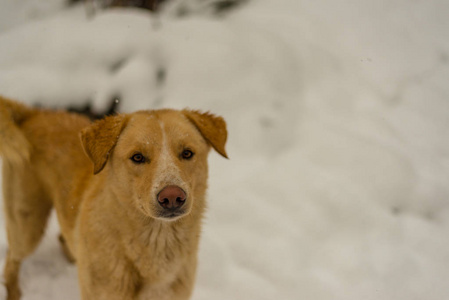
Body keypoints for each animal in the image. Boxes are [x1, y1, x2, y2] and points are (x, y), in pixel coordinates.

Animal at [0, 96, 228, 300]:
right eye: (138, 157)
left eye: (187, 153)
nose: (172, 197)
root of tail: (34, 113)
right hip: (27, 227)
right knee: (11, 261)